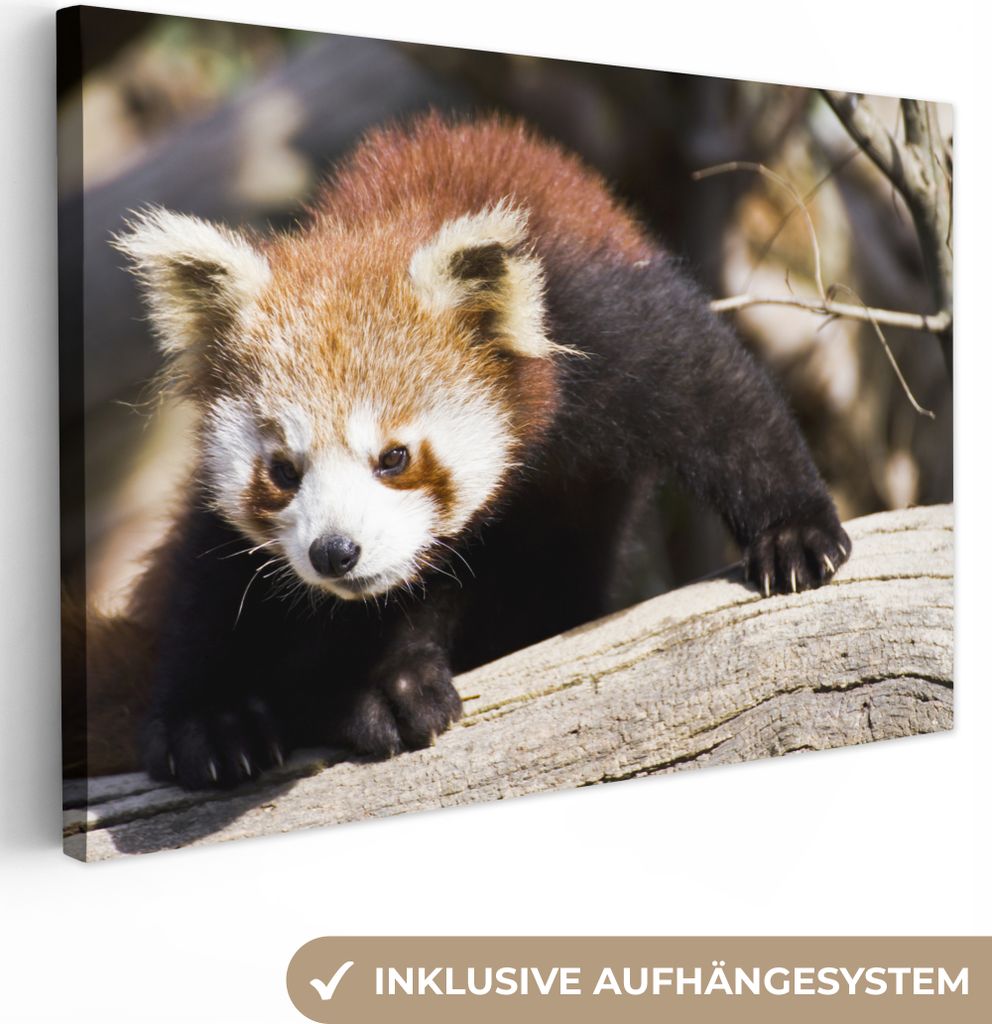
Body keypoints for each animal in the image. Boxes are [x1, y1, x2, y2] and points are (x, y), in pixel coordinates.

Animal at [106, 113, 850, 789]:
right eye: (285, 471)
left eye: (394, 458)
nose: (333, 552)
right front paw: (377, 690)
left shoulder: (602, 309)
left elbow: (717, 396)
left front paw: (793, 530)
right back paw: (216, 720)